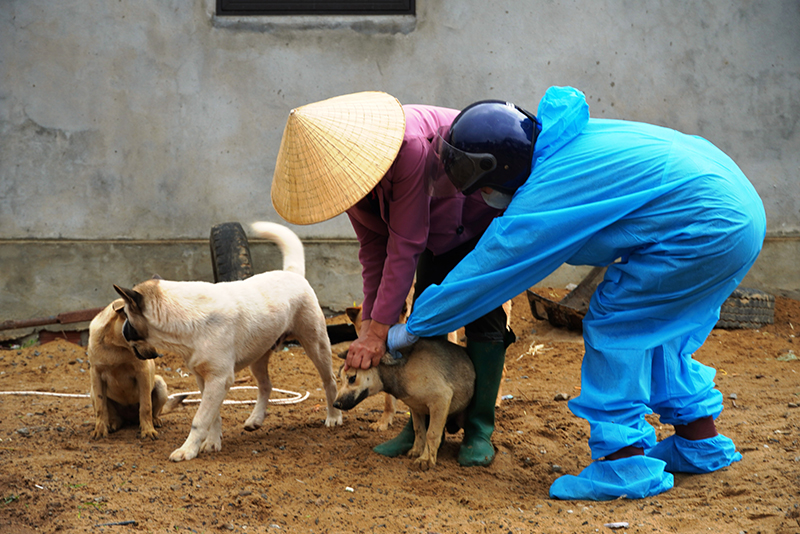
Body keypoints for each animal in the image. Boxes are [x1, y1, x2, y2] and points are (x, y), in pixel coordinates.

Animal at [89, 300, 183, 442]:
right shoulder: (96, 375)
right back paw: (112, 424)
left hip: (160, 385)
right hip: (92, 391)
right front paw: (100, 430)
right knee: (114, 416)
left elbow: (146, 406)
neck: (115, 346)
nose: (156, 355)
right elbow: (101, 408)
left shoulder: (142, 374)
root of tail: (130, 419)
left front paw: (148, 431)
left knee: (154, 412)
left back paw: (154, 421)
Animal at [111, 223, 340, 464]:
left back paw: (334, 416)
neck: (183, 315)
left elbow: (200, 419)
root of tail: (291, 274)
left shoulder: (218, 380)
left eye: (126, 315)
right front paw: (212, 443)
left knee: (329, 381)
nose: (123, 333)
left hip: (316, 346)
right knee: (266, 385)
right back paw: (255, 419)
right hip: (258, 356)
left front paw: (187, 450)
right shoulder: (205, 380)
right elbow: (213, 417)